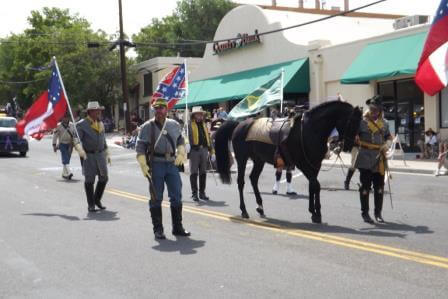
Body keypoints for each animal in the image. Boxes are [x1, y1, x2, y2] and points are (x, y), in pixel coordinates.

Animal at [214, 101, 364, 223]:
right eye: (352, 122)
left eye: (359, 123)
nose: (349, 146)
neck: (310, 130)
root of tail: (239, 124)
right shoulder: (304, 164)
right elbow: (316, 185)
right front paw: (316, 214)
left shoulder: (314, 165)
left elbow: (313, 186)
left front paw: (314, 211)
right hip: (242, 158)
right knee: (241, 182)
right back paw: (244, 210)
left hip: (259, 160)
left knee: (253, 179)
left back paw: (260, 207)